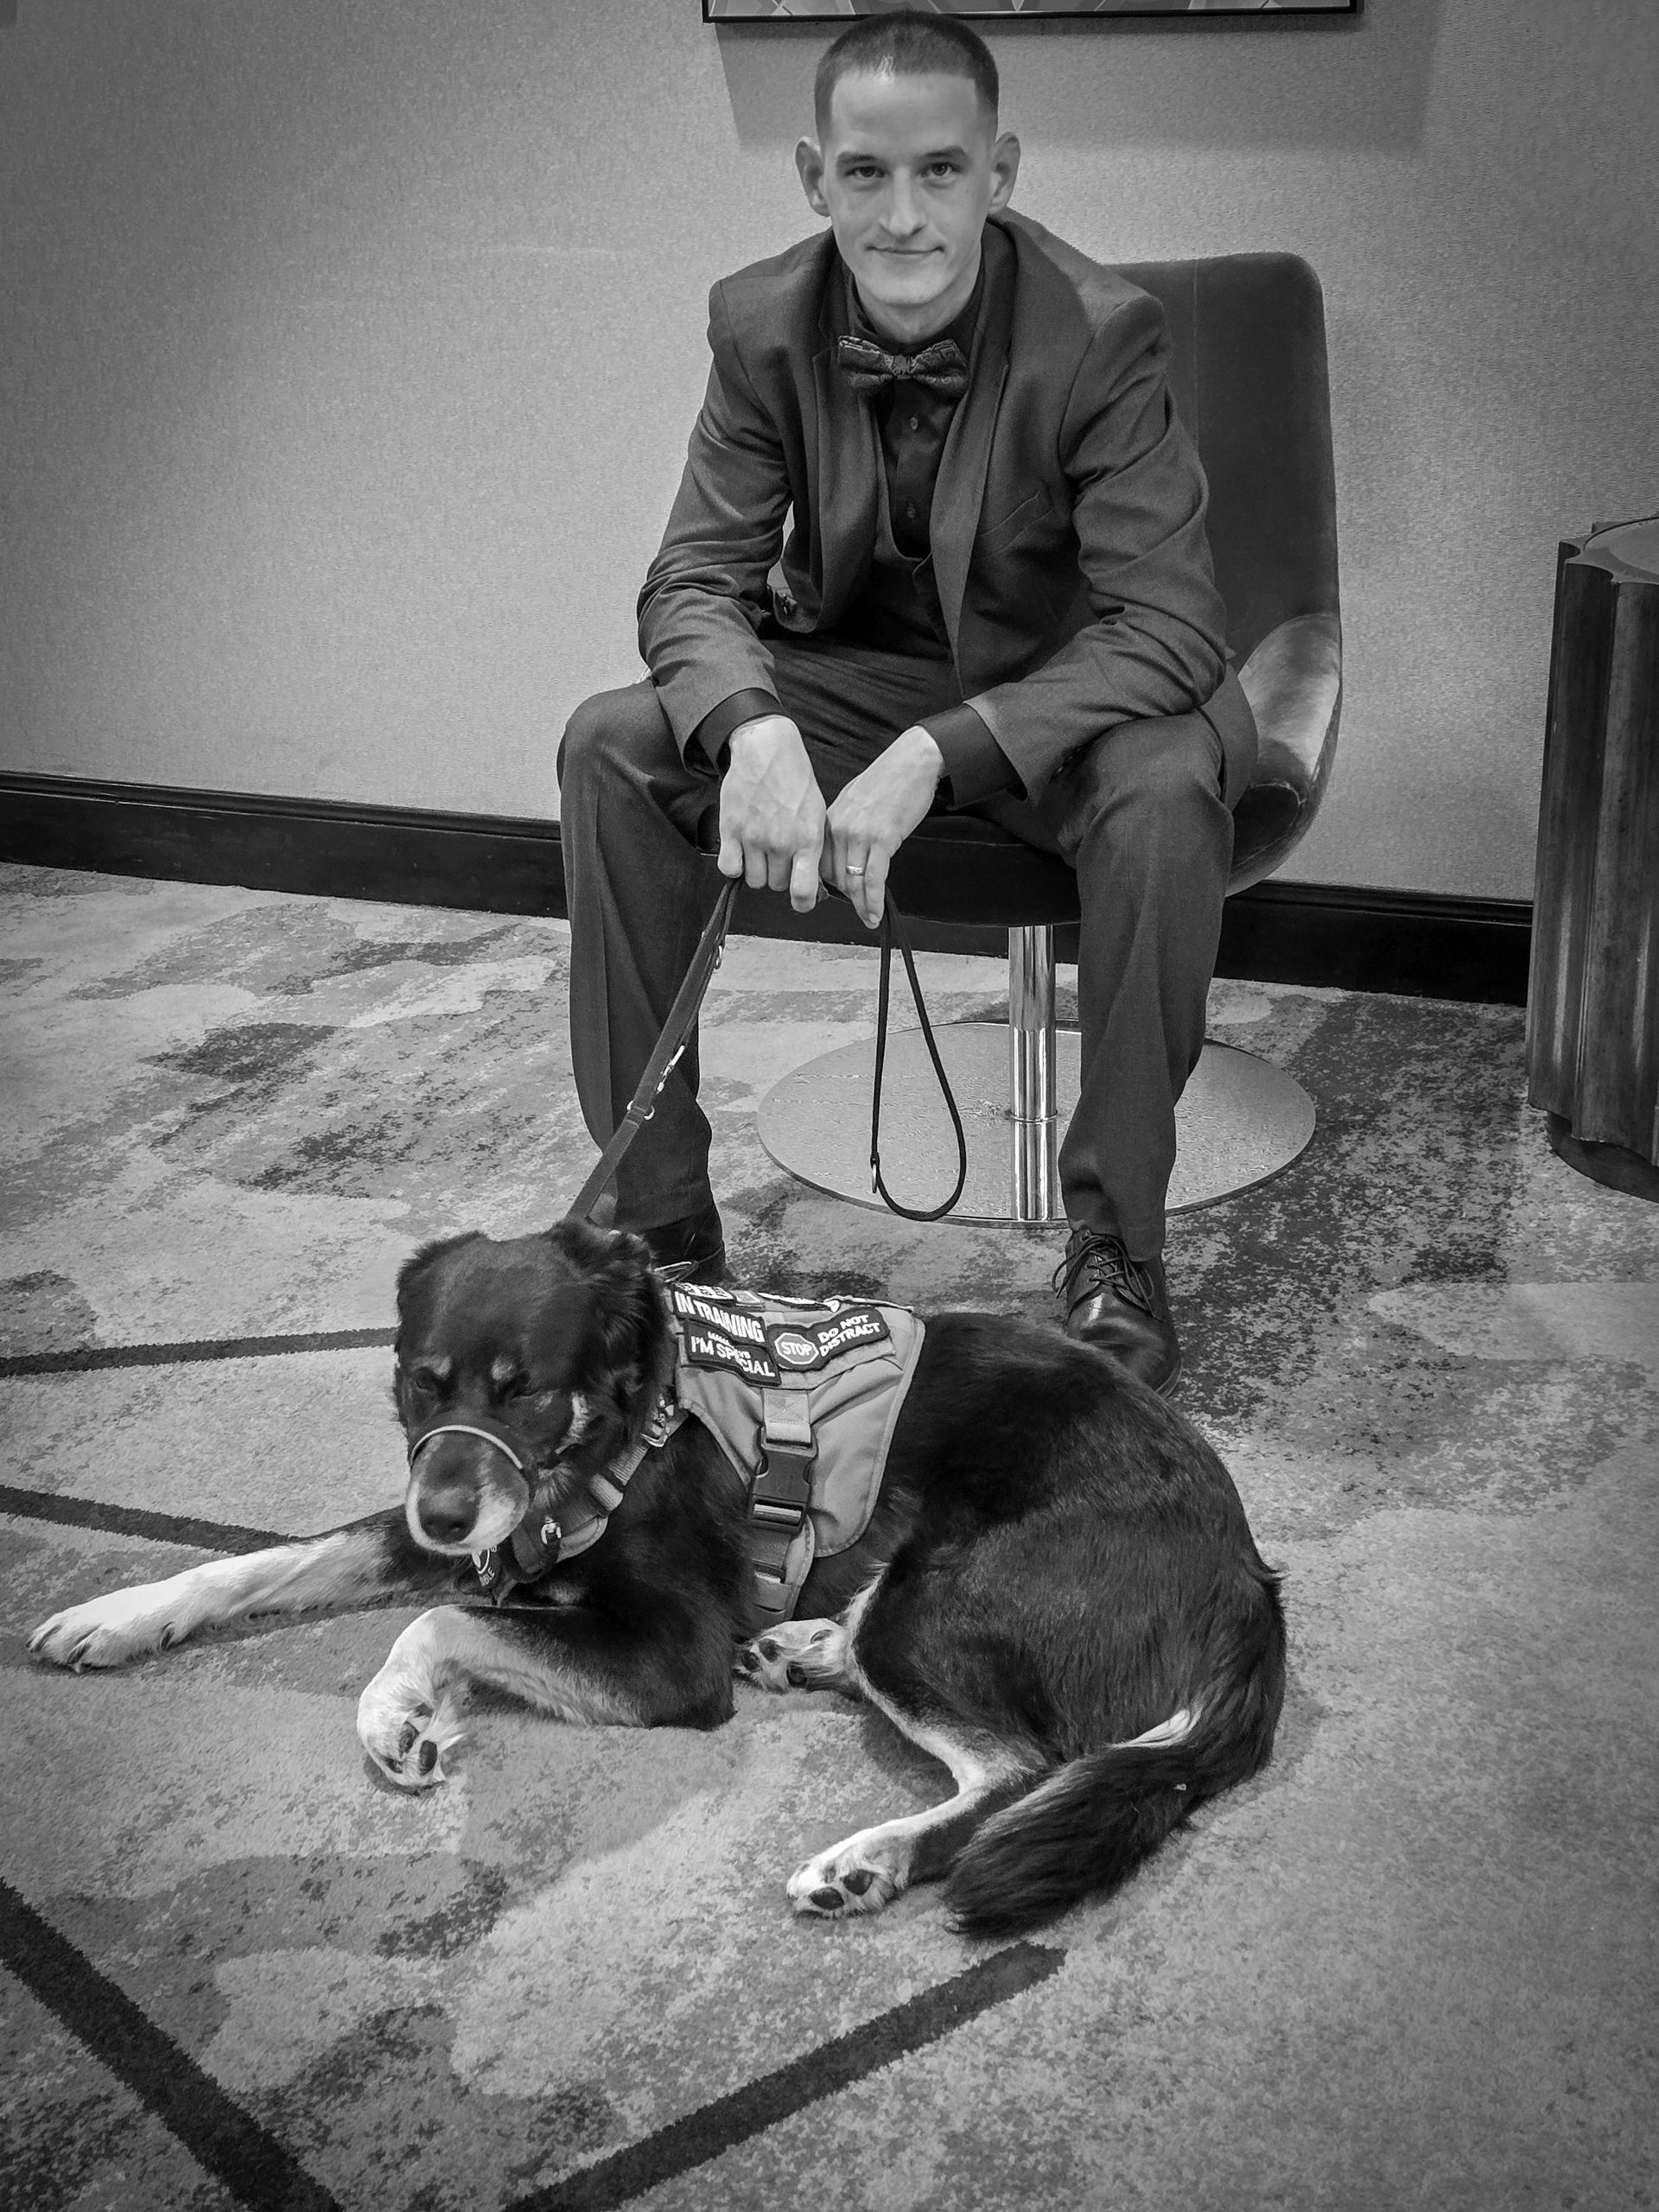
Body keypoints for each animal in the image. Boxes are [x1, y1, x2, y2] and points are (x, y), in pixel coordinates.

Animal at [29, 1220, 1284, 1934]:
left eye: (526, 1389)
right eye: (422, 1382)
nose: (442, 1512)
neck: (629, 1415)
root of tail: (1247, 1577)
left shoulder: (666, 1655)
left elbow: (447, 1622)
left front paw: (395, 1712)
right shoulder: (458, 1520)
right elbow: (279, 1557)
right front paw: (118, 1614)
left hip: (937, 1604)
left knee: (1019, 1767)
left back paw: (869, 1859)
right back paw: (801, 1648)